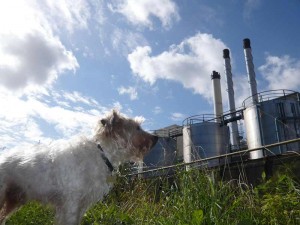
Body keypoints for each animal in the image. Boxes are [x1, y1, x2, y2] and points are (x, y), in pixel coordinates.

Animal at [0, 110, 158, 224]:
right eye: (137, 128)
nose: (156, 138)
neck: (102, 153)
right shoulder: (71, 203)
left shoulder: (81, 206)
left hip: (12, 200)